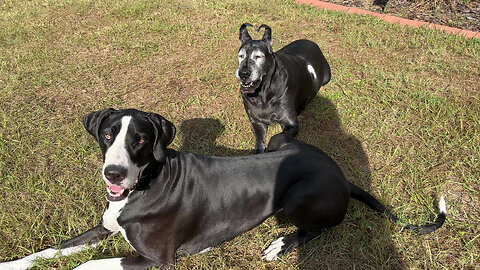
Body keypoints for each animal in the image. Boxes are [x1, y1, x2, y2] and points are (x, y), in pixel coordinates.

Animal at [0, 108, 446, 268]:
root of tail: (340, 172)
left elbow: (85, 265)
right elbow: (53, 250)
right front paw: (13, 264)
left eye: (140, 139)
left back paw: (280, 245)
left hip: (295, 199)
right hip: (281, 140)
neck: (147, 184)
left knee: (319, 228)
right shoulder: (103, 227)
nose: (113, 173)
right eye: (108, 134)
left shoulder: (157, 260)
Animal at [235, 22, 332, 154]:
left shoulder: (291, 124)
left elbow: (277, 136)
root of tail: (311, 42)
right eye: (241, 56)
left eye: (258, 56)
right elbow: (259, 144)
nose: (243, 73)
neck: (263, 93)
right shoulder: (257, 122)